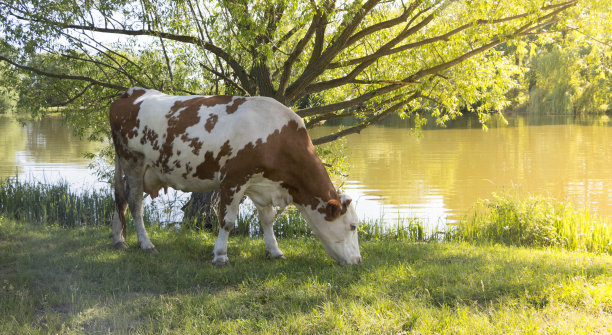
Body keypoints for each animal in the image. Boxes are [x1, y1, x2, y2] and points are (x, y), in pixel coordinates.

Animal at [108, 88, 360, 266]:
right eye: (353, 226)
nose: (358, 260)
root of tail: (133, 91)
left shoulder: (260, 185)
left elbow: (267, 220)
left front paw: (275, 251)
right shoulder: (233, 179)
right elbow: (227, 221)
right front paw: (220, 256)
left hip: (136, 168)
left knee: (121, 197)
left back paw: (118, 239)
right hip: (133, 161)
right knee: (135, 203)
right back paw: (146, 244)